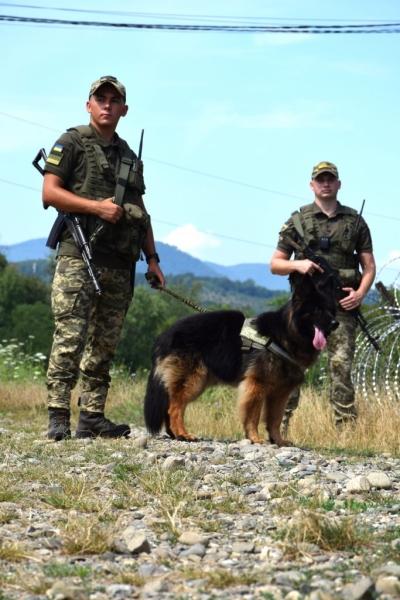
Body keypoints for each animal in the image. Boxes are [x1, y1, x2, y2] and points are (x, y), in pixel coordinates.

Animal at [144, 276, 338, 446]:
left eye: (331, 309)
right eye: (317, 310)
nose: (336, 323)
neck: (282, 335)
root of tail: (163, 336)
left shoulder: (280, 393)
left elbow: (275, 419)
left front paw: (278, 440)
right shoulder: (256, 386)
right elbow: (253, 415)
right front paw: (254, 438)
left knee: (169, 406)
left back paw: (174, 433)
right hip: (192, 382)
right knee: (174, 408)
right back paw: (182, 434)